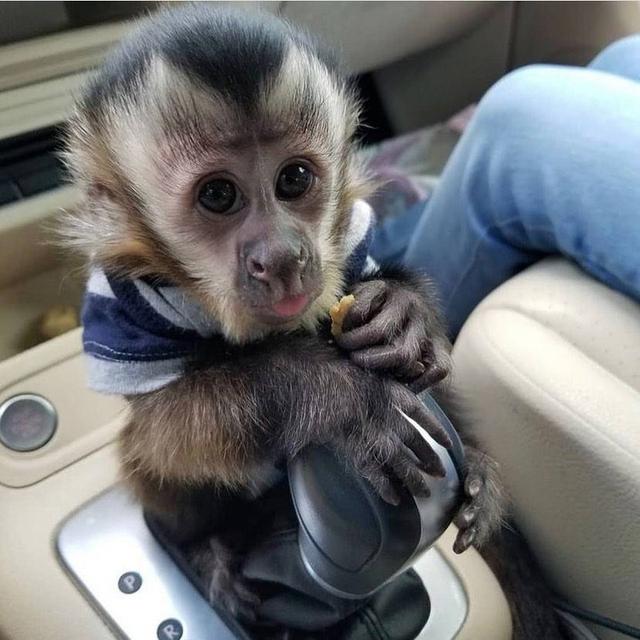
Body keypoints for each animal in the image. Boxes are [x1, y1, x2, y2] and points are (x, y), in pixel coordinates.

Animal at [60, 5, 566, 638]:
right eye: (218, 194)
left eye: (294, 179)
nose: (282, 257)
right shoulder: (121, 297)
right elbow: (164, 424)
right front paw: (338, 395)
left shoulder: (352, 233)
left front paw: (402, 315)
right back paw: (206, 549)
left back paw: (478, 472)